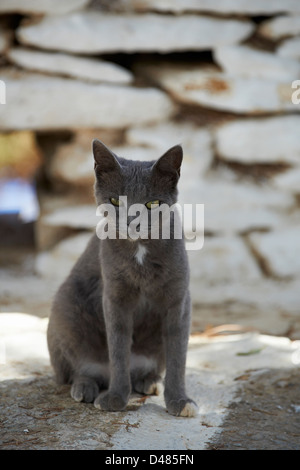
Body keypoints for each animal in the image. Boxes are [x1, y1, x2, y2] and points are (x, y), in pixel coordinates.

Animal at [47, 140, 198, 418]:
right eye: (116, 201)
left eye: (152, 204)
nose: (131, 222)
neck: (139, 250)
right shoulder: (114, 296)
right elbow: (117, 349)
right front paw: (116, 398)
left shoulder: (179, 299)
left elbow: (177, 355)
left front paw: (180, 401)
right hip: (64, 308)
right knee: (78, 369)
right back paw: (85, 388)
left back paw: (150, 382)